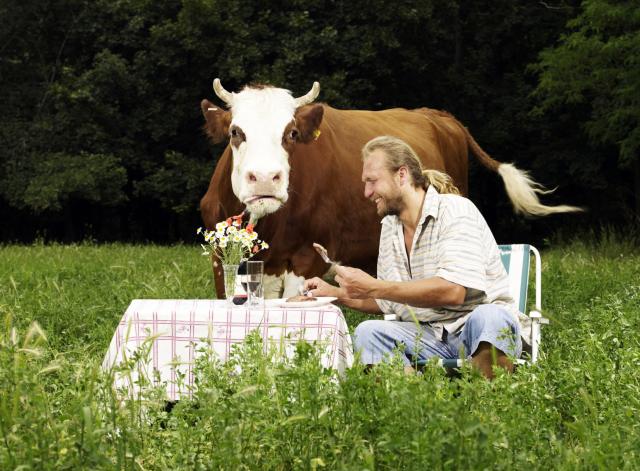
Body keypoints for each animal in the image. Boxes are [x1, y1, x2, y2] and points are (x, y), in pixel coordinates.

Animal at [199, 79, 580, 296]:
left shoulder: (307, 259)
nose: (265, 178)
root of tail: (438, 114)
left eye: (291, 133)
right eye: (235, 132)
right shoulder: (221, 258)